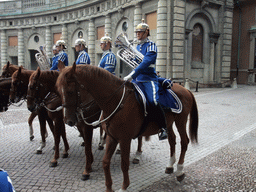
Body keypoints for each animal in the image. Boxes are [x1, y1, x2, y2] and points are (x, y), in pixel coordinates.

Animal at [56, 63, 198, 192]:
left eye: (70, 91)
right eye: (58, 91)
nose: (68, 120)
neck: (115, 101)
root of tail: (186, 89)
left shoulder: (124, 139)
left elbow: (124, 164)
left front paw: (124, 187)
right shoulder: (112, 137)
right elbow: (105, 162)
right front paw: (109, 188)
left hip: (181, 121)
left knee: (184, 141)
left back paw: (180, 171)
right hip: (169, 123)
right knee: (172, 140)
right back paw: (170, 166)